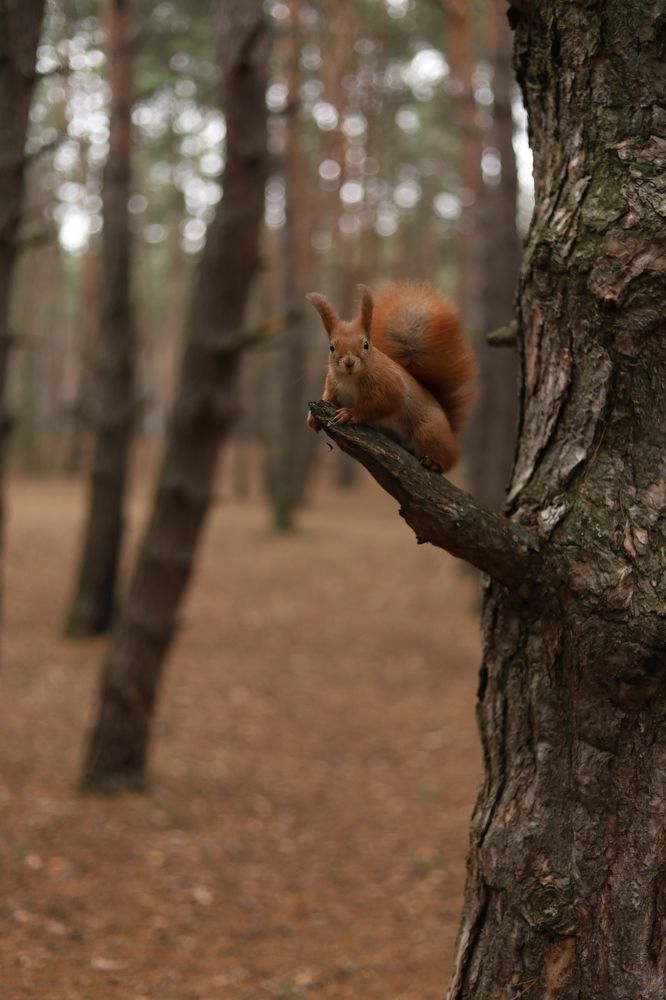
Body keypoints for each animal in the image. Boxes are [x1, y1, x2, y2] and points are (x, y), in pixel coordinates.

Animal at [306, 281, 477, 473]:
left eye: (366, 344)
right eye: (332, 347)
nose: (349, 362)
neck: (350, 379)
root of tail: (451, 433)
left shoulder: (389, 384)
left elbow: (386, 402)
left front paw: (351, 413)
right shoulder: (333, 386)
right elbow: (328, 398)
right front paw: (312, 418)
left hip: (429, 430)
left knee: (445, 459)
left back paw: (433, 462)